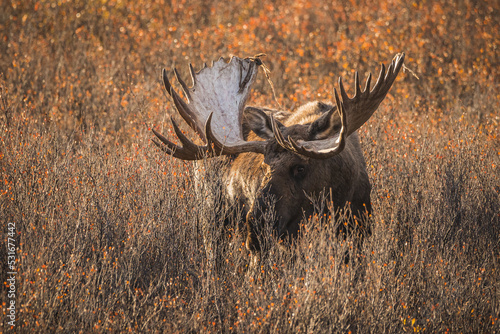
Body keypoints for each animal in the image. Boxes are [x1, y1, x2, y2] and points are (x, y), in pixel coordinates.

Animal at [152, 53, 406, 254]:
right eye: (264, 166)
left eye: (301, 167)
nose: (257, 225)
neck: (340, 194)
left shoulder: (360, 229)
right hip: (212, 217)